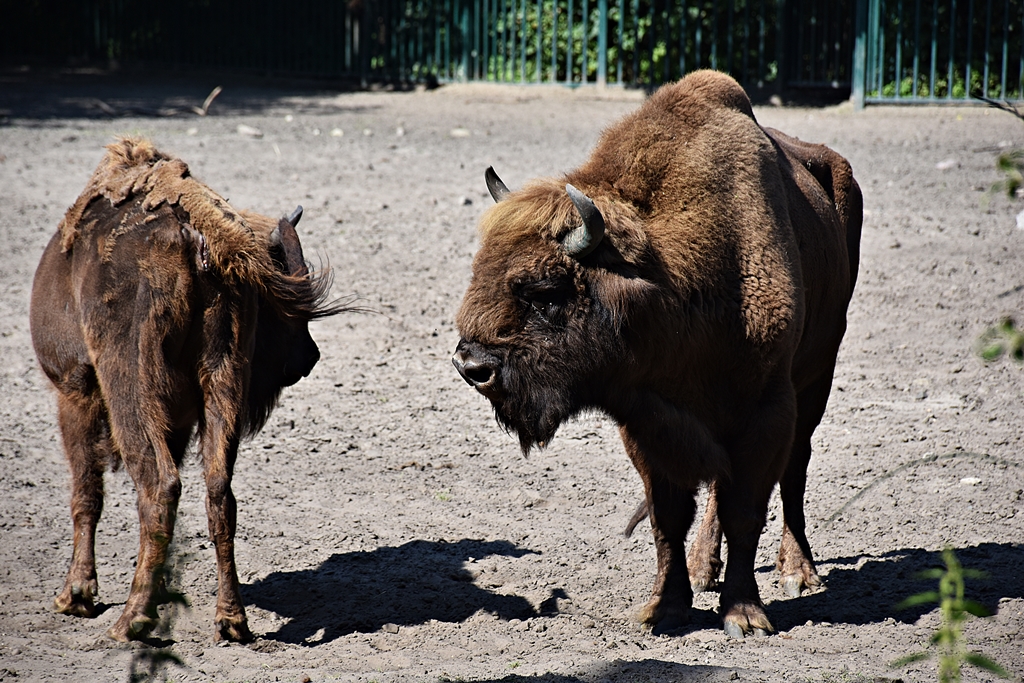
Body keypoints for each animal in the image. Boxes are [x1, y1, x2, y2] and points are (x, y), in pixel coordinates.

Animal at [30, 138, 345, 642]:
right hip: (222, 384)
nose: (308, 357)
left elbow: (86, 494)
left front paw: (75, 596)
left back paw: (130, 621)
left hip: (128, 389)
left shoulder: (73, 390)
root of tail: (197, 237)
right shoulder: (177, 420)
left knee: (158, 486)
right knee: (218, 492)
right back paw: (230, 621)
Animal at [453, 71, 861, 637]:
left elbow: (747, 509)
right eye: (480, 271)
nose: (472, 367)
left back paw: (798, 572)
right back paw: (703, 567)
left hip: (817, 375)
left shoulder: (766, 411)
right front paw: (663, 609)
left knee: (794, 470)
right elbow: (670, 515)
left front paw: (745, 615)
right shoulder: (648, 421)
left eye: (548, 291)